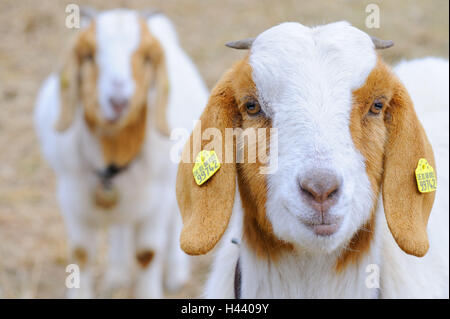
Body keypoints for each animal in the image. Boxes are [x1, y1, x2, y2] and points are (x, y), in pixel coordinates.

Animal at [34, 10, 208, 300]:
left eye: (146, 58)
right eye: (89, 55)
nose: (118, 101)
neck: (114, 153)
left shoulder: (156, 201)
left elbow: (147, 253)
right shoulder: (73, 200)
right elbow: (81, 254)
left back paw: (175, 275)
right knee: (119, 226)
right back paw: (117, 275)